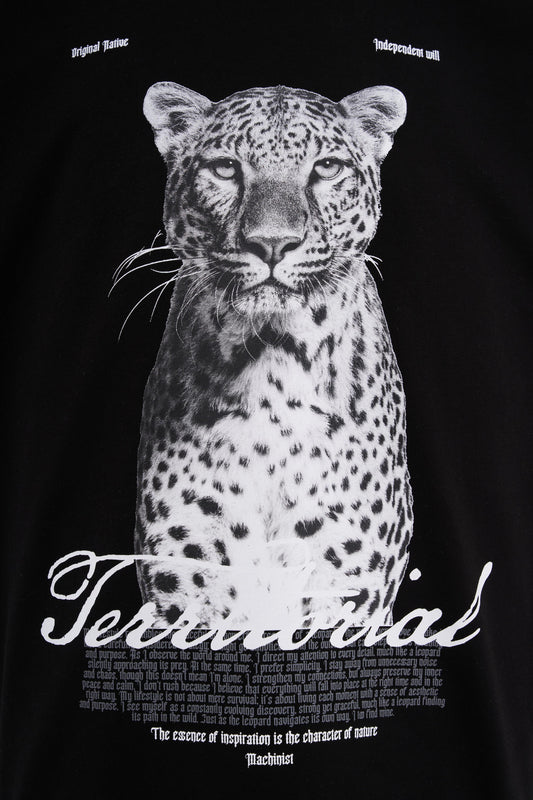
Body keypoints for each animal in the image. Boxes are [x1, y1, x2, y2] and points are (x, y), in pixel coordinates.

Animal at [133, 81, 413, 630]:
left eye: (327, 168)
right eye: (226, 168)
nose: (272, 244)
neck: (271, 362)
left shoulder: (344, 591)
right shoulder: (185, 586)